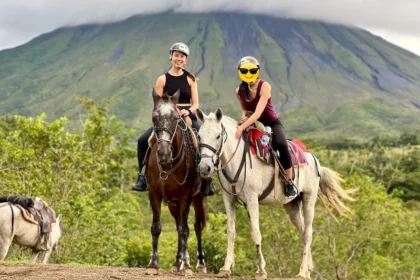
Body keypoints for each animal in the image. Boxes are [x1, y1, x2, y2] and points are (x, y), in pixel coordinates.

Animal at [144, 89, 208, 276]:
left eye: (175, 118)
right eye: (154, 117)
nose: (164, 153)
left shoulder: (186, 196)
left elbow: (185, 230)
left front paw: (187, 267)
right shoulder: (154, 194)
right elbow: (156, 227)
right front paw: (153, 265)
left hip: (198, 198)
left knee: (195, 226)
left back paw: (199, 264)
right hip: (173, 203)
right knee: (178, 224)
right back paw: (176, 262)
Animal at [196, 109, 354, 280]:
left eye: (218, 136)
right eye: (199, 136)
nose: (204, 168)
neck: (236, 159)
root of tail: (313, 158)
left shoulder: (252, 198)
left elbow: (255, 233)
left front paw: (260, 270)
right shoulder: (229, 198)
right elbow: (231, 231)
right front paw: (225, 268)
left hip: (309, 198)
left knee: (308, 233)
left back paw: (302, 272)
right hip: (291, 204)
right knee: (302, 230)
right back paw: (308, 269)